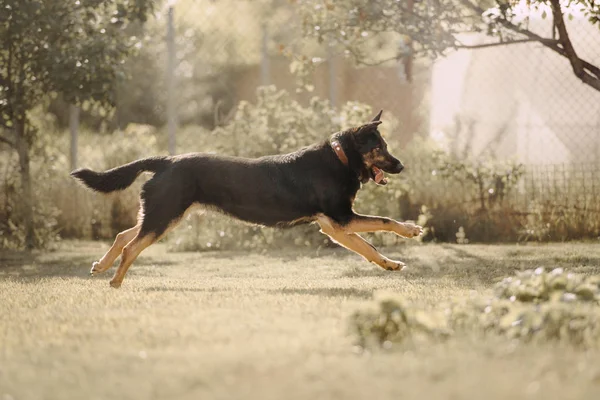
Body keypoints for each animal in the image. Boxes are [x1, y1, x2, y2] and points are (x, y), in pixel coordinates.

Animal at [71, 111, 422, 288]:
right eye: (380, 148)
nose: (402, 166)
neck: (341, 157)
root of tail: (166, 160)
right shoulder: (341, 219)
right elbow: (385, 222)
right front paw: (409, 229)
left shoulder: (334, 226)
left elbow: (368, 248)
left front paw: (390, 264)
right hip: (163, 217)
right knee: (130, 247)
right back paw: (116, 281)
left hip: (162, 215)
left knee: (123, 235)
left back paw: (101, 267)